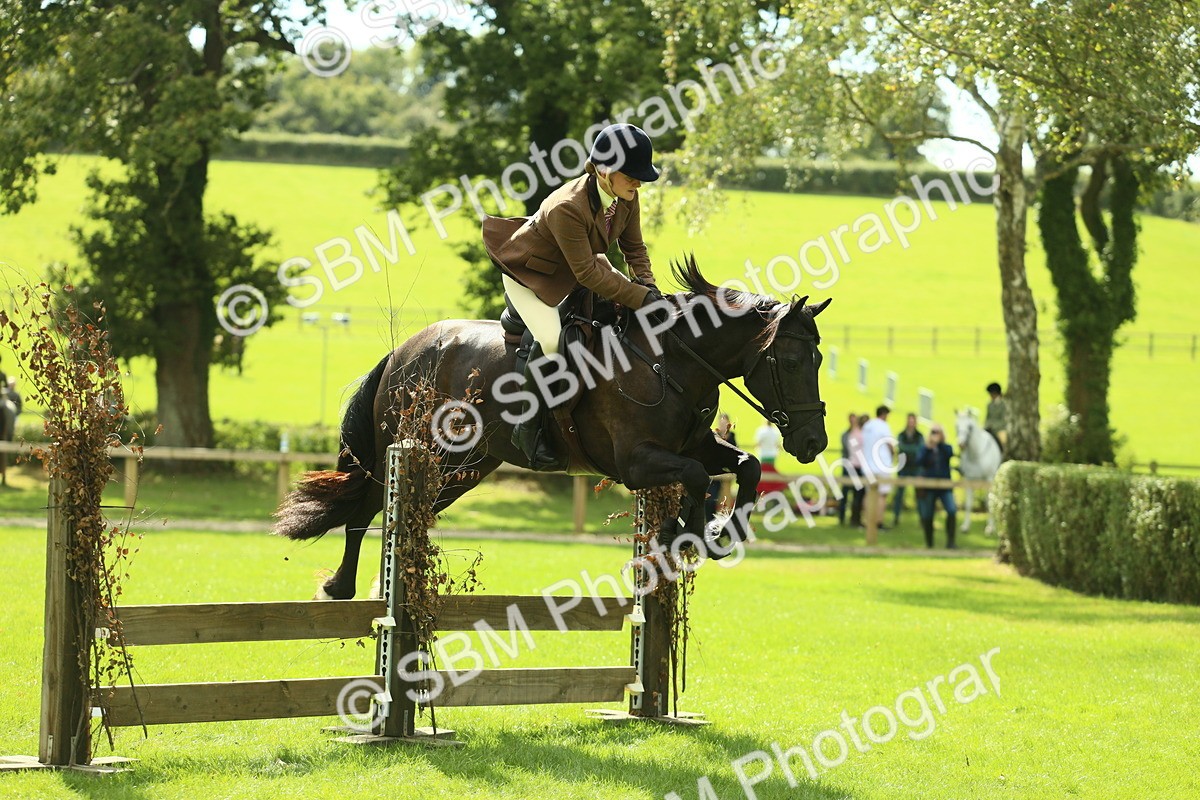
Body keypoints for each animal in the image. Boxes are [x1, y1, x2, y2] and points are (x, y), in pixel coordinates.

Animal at [273, 257, 832, 600]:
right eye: (792, 360)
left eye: (819, 358)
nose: (813, 442)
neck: (671, 360)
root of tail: (402, 352)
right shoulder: (635, 461)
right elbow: (695, 477)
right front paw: (690, 530)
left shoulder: (692, 445)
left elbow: (747, 464)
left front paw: (721, 530)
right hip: (413, 449)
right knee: (366, 509)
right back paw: (340, 586)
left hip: (463, 468)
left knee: (407, 511)